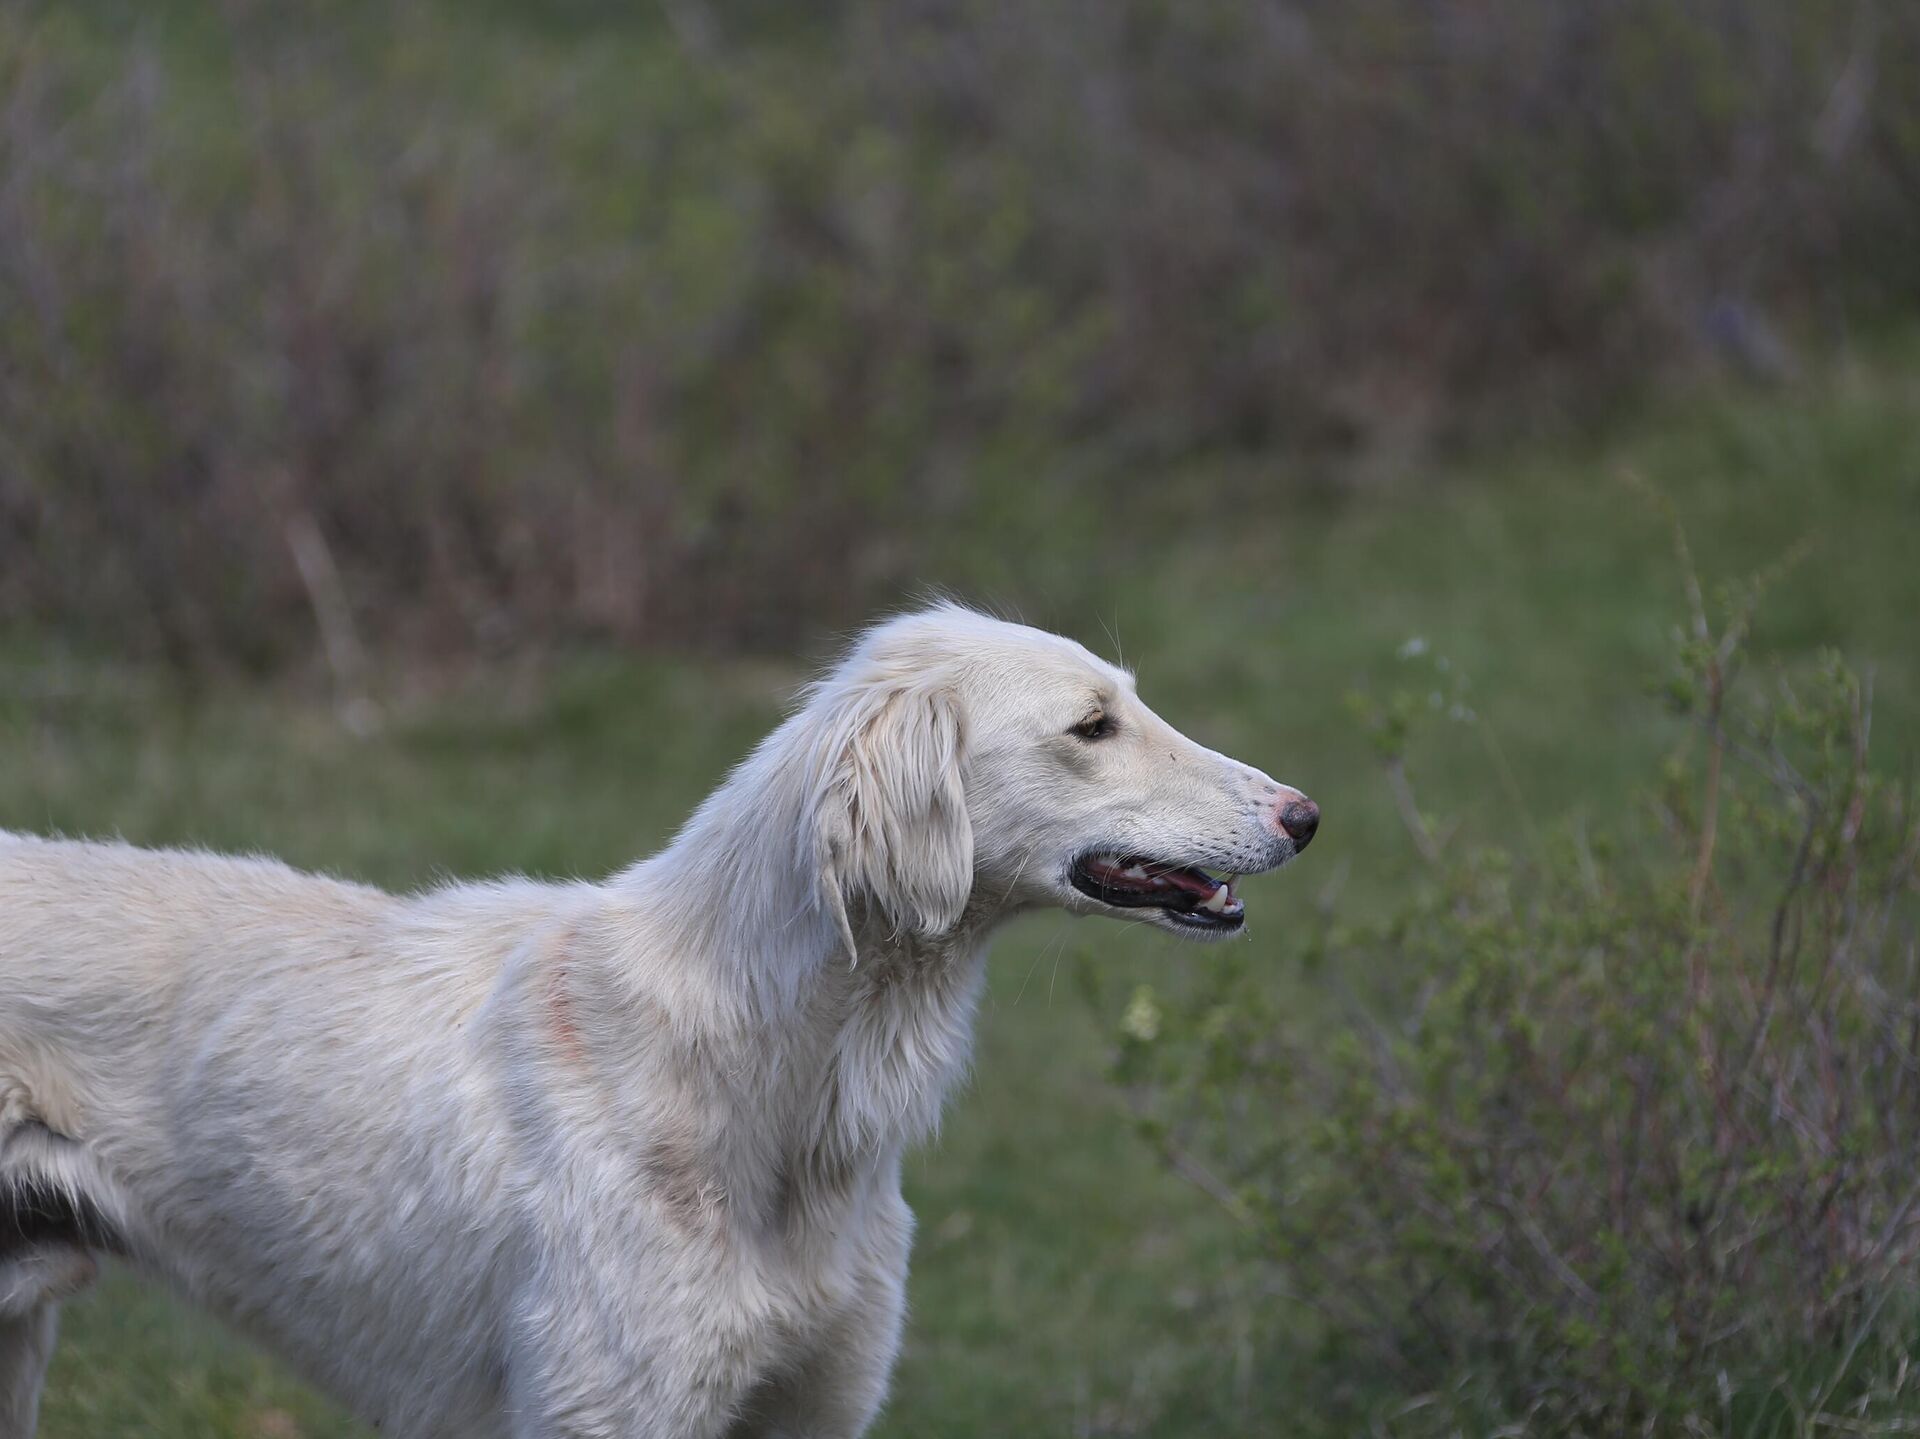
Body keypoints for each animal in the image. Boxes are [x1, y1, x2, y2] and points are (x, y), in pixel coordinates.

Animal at [0, 610, 1320, 1437]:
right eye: (1091, 726)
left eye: (1130, 703)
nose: (1307, 815)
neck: (771, 1085)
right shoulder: (605, 1406)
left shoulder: (809, 1409)